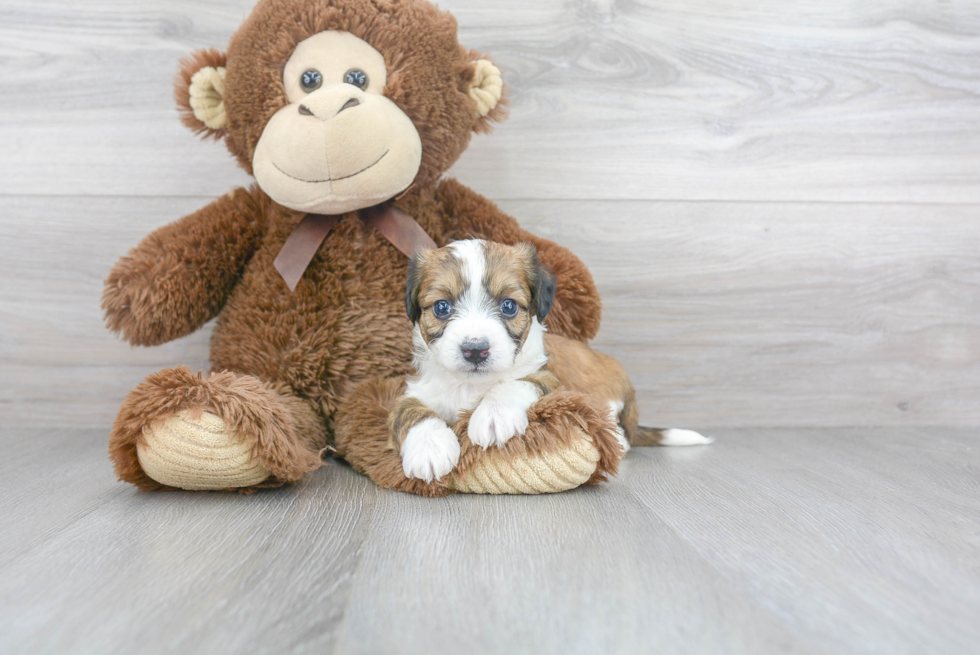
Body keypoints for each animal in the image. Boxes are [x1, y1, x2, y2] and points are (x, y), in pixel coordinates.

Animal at [386, 237, 708, 482]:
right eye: (441, 307)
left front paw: (494, 415)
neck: (471, 385)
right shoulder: (417, 390)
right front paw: (429, 447)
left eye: (508, 306)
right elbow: (410, 412)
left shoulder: (551, 380)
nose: (475, 350)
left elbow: (518, 382)